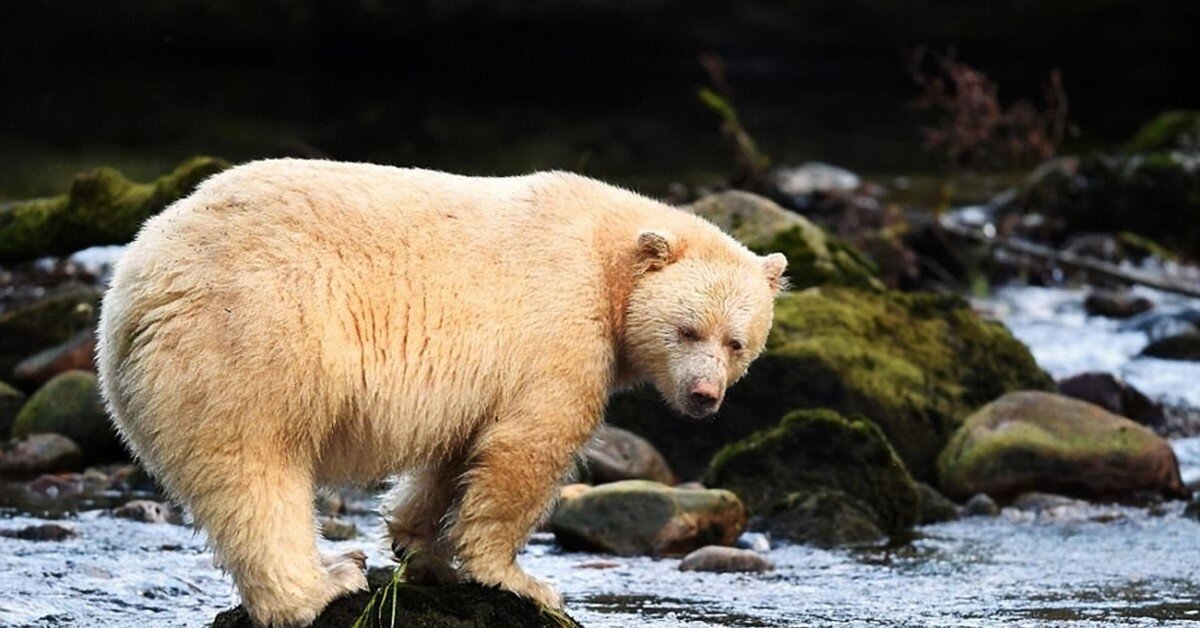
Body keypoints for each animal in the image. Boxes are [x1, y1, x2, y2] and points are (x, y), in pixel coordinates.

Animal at [93, 159, 787, 624]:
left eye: (737, 342)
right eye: (687, 329)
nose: (704, 395)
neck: (609, 258)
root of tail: (135, 287)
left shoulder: (478, 379)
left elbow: (458, 450)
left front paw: (417, 545)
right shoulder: (560, 327)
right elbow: (528, 447)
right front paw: (518, 579)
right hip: (254, 337)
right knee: (255, 468)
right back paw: (325, 583)